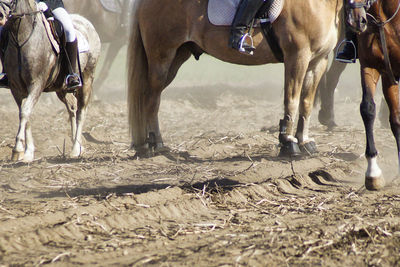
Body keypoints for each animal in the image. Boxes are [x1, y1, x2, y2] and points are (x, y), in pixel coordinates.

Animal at [0, 0, 101, 163]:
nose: (1, 16)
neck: (21, 39)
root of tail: (85, 22)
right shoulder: (16, 88)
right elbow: (24, 113)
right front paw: (28, 152)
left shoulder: (36, 84)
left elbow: (25, 111)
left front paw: (18, 149)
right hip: (61, 88)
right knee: (72, 108)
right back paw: (76, 145)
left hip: (87, 79)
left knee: (81, 111)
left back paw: (75, 149)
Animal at [126, 0, 368, 158]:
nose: (361, 21)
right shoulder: (297, 57)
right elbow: (291, 100)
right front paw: (288, 143)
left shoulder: (318, 62)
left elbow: (306, 103)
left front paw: (305, 141)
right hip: (162, 58)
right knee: (151, 98)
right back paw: (156, 143)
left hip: (177, 57)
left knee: (152, 96)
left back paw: (149, 143)